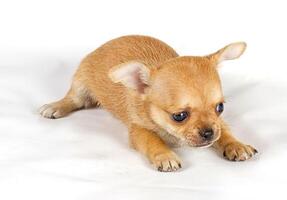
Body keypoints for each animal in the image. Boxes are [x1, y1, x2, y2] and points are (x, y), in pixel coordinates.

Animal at [39, 35, 258, 171]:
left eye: (220, 107)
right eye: (179, 116)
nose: (208, 133)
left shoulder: (218, 123)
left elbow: (225, 131)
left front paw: (236, 144)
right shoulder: (138, 130)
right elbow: (153, 140)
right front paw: (165, 156)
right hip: (81, 84)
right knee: (73, 99)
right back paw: (55, 106)